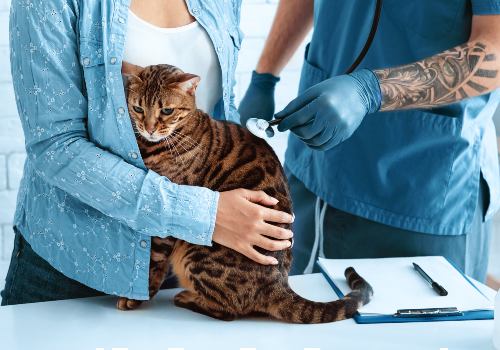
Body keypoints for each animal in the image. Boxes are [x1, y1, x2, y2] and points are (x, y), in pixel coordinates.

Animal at [117, 60, 374, 322]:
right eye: (138, 108)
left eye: (167, 111)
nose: (148, 128)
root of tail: (279, 284)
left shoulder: (168, 209)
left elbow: (154, 262)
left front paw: (137, 296)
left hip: (198, 252)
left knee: (228, 310)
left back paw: (188, 298)